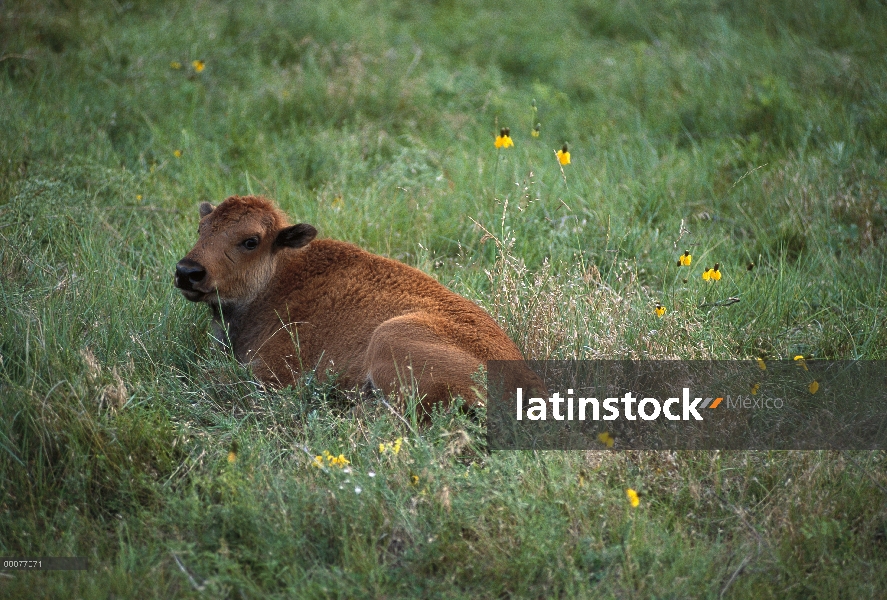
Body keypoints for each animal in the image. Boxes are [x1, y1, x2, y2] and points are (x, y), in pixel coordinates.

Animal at [177, 196, 532, 412]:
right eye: (201, 228)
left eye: (250, 241)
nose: (187, 272)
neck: (278, 278)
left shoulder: (270, 372)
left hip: (389, 337)